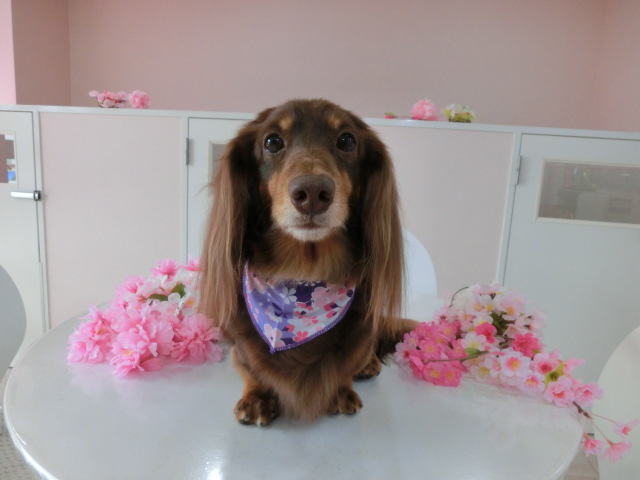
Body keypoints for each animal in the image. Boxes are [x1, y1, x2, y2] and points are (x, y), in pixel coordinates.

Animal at [199, 99, 415, 426]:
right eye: (272, 141)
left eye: (347, 140)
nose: (312, 192)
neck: (303, 274)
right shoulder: (242, 341)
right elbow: (250, 367)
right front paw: (257, 397)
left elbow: (348, 363)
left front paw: (340, 390)